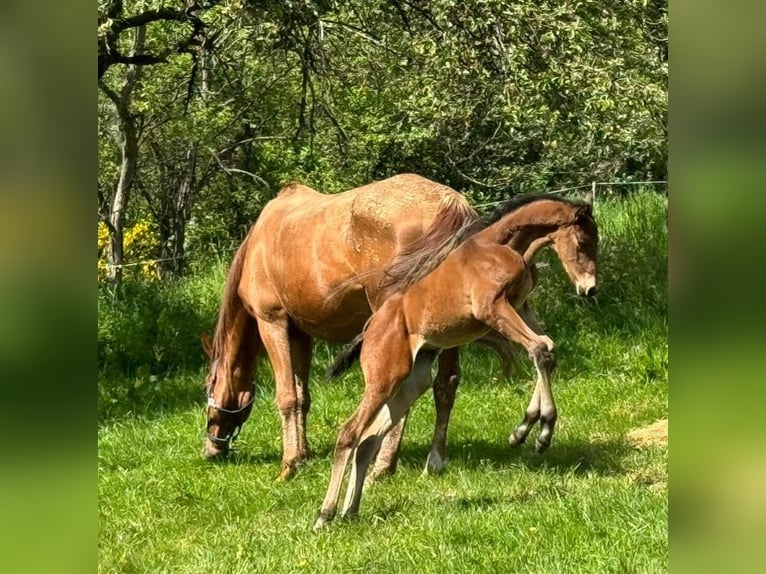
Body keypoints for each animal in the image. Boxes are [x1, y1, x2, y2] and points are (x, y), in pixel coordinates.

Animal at [204, 173, 480, 480]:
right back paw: (434, 461)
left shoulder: (271, 322)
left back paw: (382, 467)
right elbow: (302, 396)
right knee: (446, 384)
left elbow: (287, 396)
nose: (211, 449)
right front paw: (303, 455)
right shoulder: (301, 334)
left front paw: (289, 465)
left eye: (208, 387)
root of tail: (451, 205)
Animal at [314, 196, 600, 528]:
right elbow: (540, 349)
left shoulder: (519, 308)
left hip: (413, 379)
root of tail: (370, 327)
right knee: (349, 433)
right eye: (582, 242)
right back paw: (325, 515)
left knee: (368, 439)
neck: (503, 246)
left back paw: (351, 510)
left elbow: (546, 349)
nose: (590, 288)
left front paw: (525, 429)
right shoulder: (493, 309)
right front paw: (539, 432)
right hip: (384, 377)